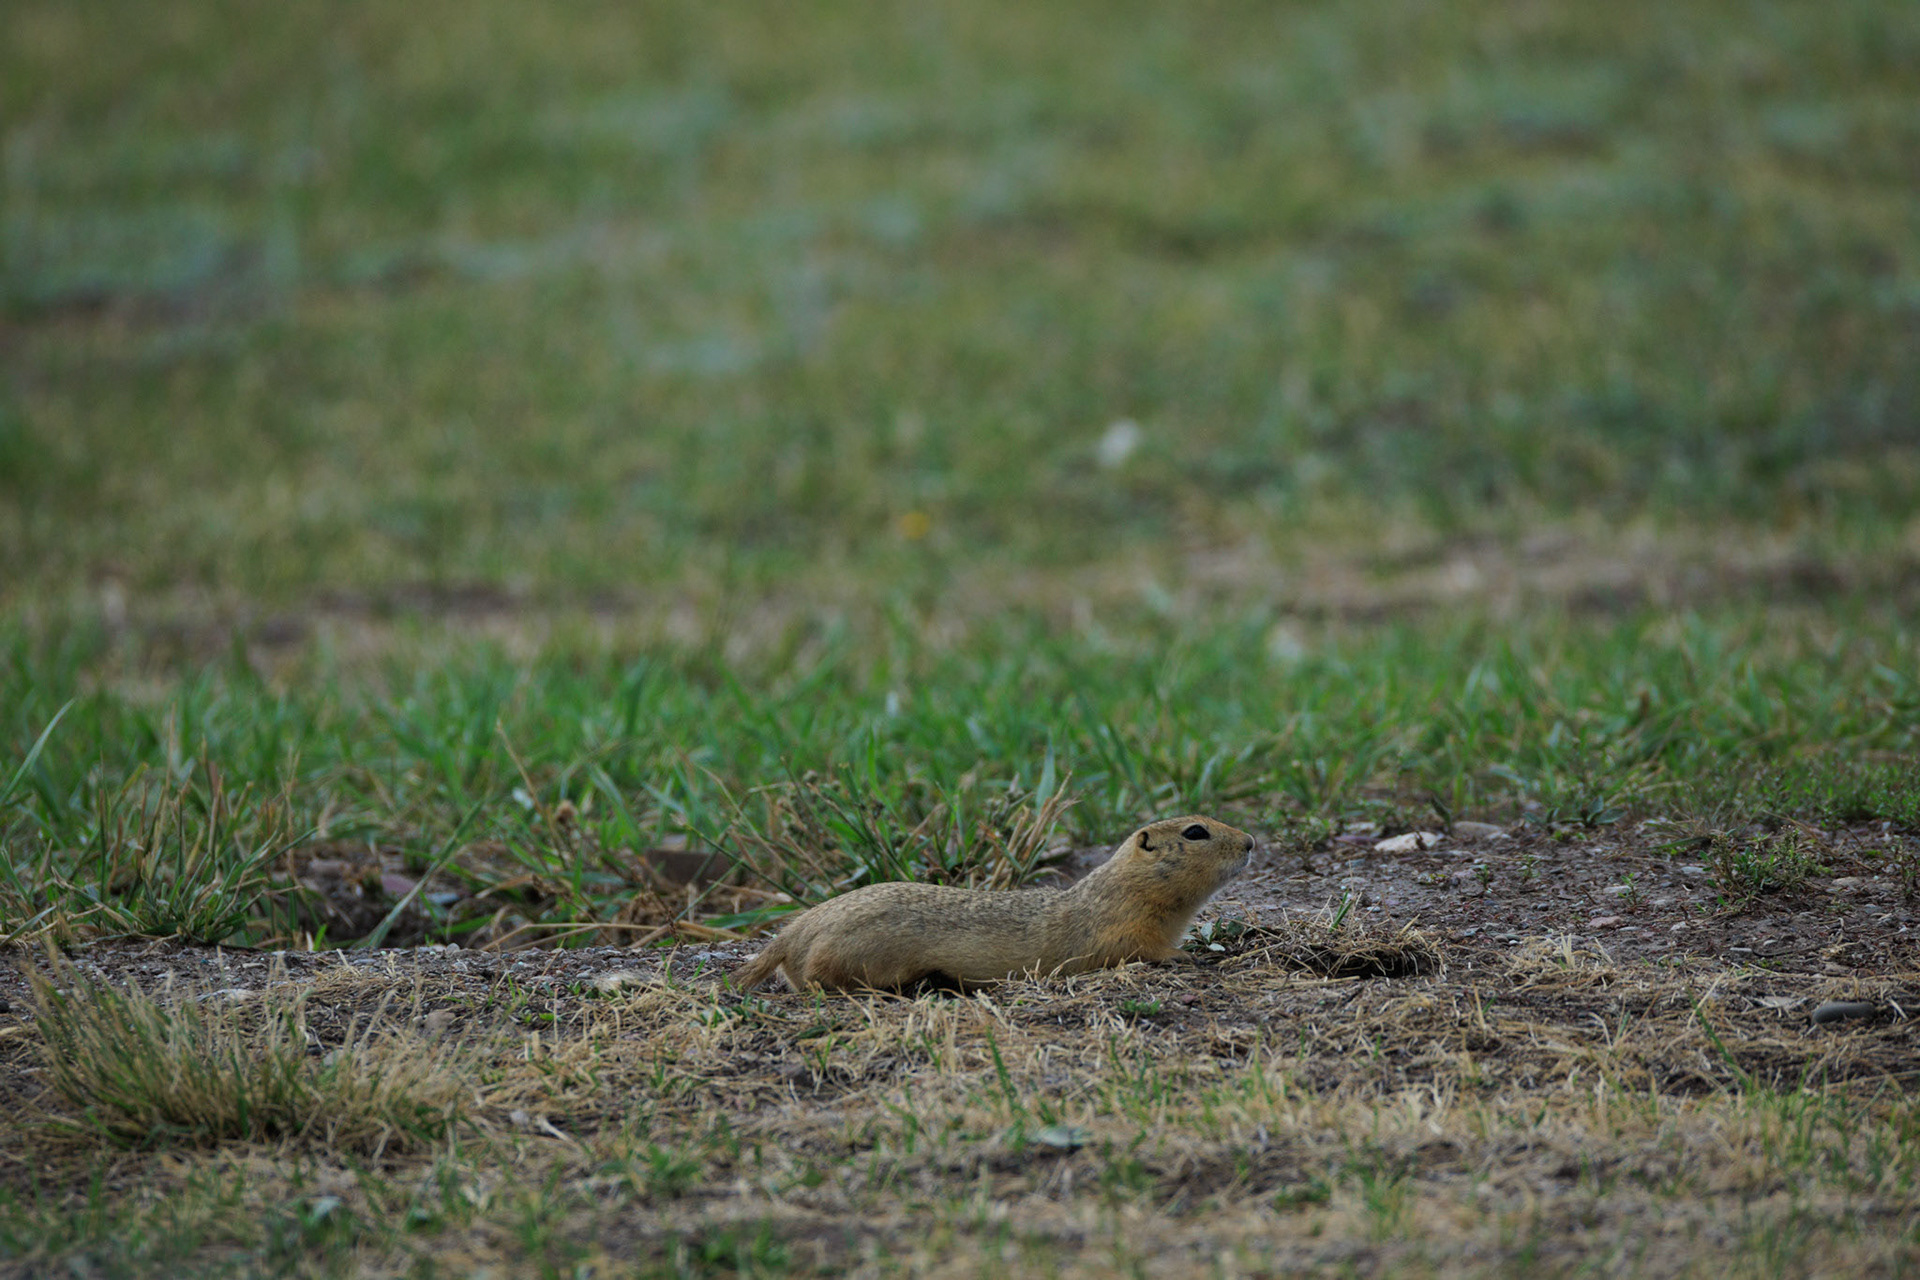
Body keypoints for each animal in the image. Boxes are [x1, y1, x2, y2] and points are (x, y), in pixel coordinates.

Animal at [732, 815, 1255, 993]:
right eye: (1195, 832)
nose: (1251, 841)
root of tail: (791, 935)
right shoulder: (1122, 928)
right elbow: (1140, 949)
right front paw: (1186, 956)